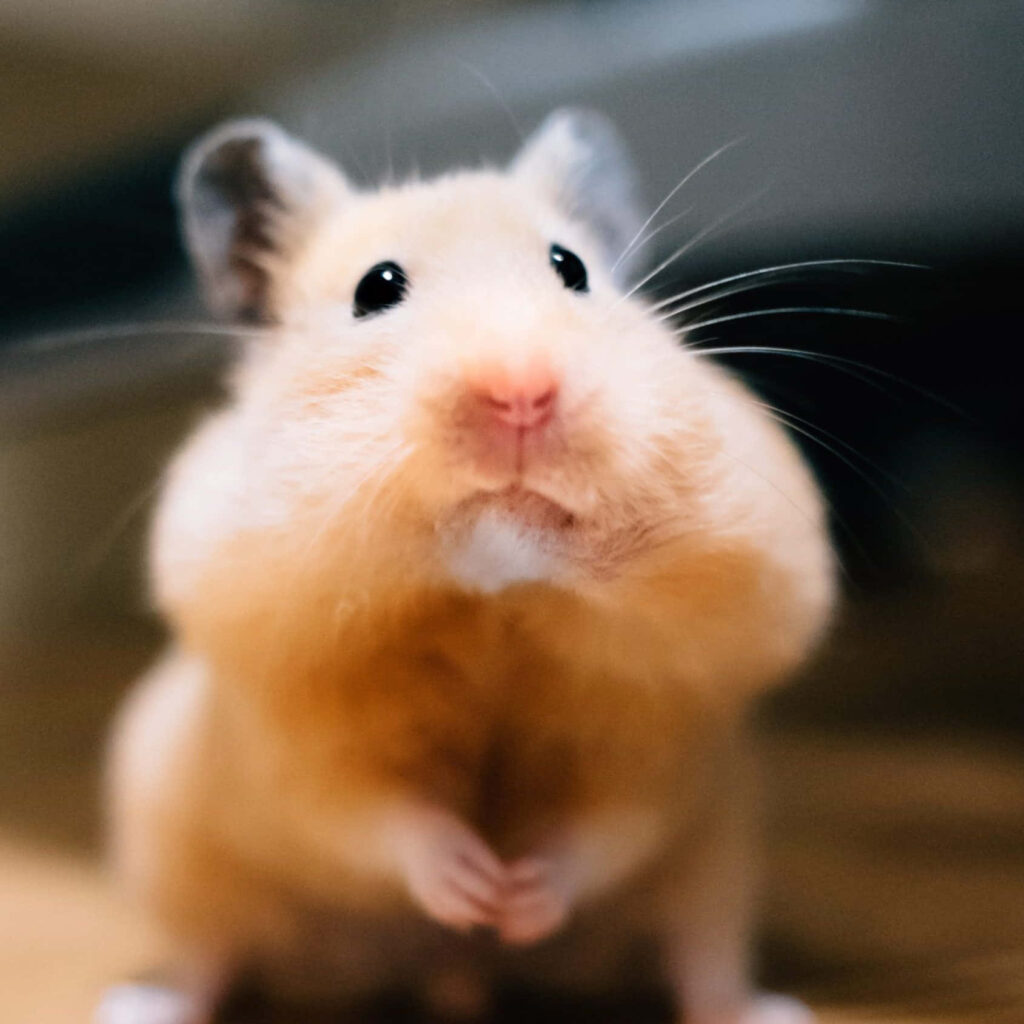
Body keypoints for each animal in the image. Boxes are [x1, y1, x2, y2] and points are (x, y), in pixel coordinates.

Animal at [99, 110, 835, 1024]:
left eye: (570, 268)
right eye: (376, 288)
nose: (521, 391)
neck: (496, 594)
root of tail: (455, 979)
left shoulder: (667, 743)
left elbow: (605, 829)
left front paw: (518, 899)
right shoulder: (293, 741)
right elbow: (377, 819)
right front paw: (476, 886)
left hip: (720, 859)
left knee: (704, 959)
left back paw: (763, 1009)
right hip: (180, 856)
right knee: (206, 956)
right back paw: (138, 1004)